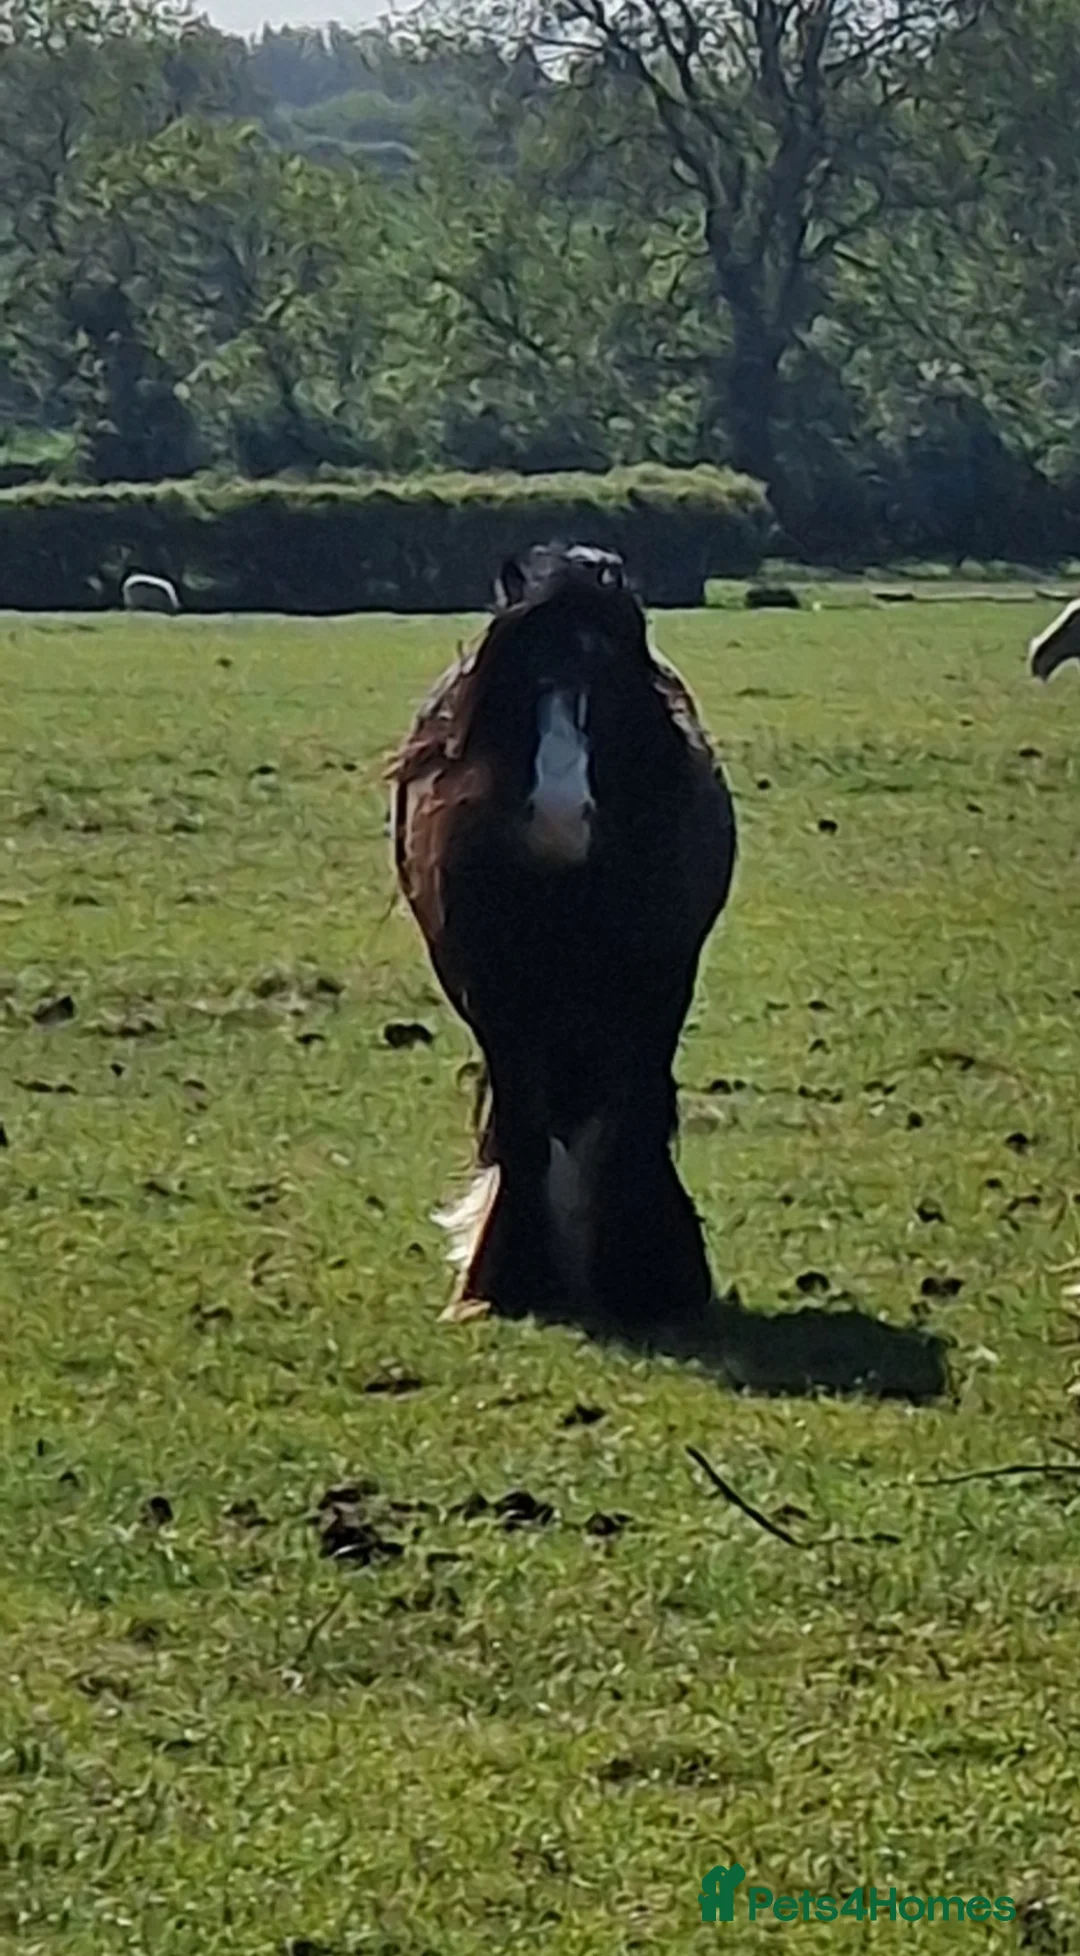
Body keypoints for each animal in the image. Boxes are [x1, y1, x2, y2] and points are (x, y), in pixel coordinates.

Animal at [391, 542, 737, 1336]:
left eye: (608, 687)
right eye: (517, 683)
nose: (557, 816)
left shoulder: (656, 989)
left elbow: (631, 1115)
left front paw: (652, 1276)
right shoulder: (495, 998)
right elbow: (521, 1123)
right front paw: (509, 1276)